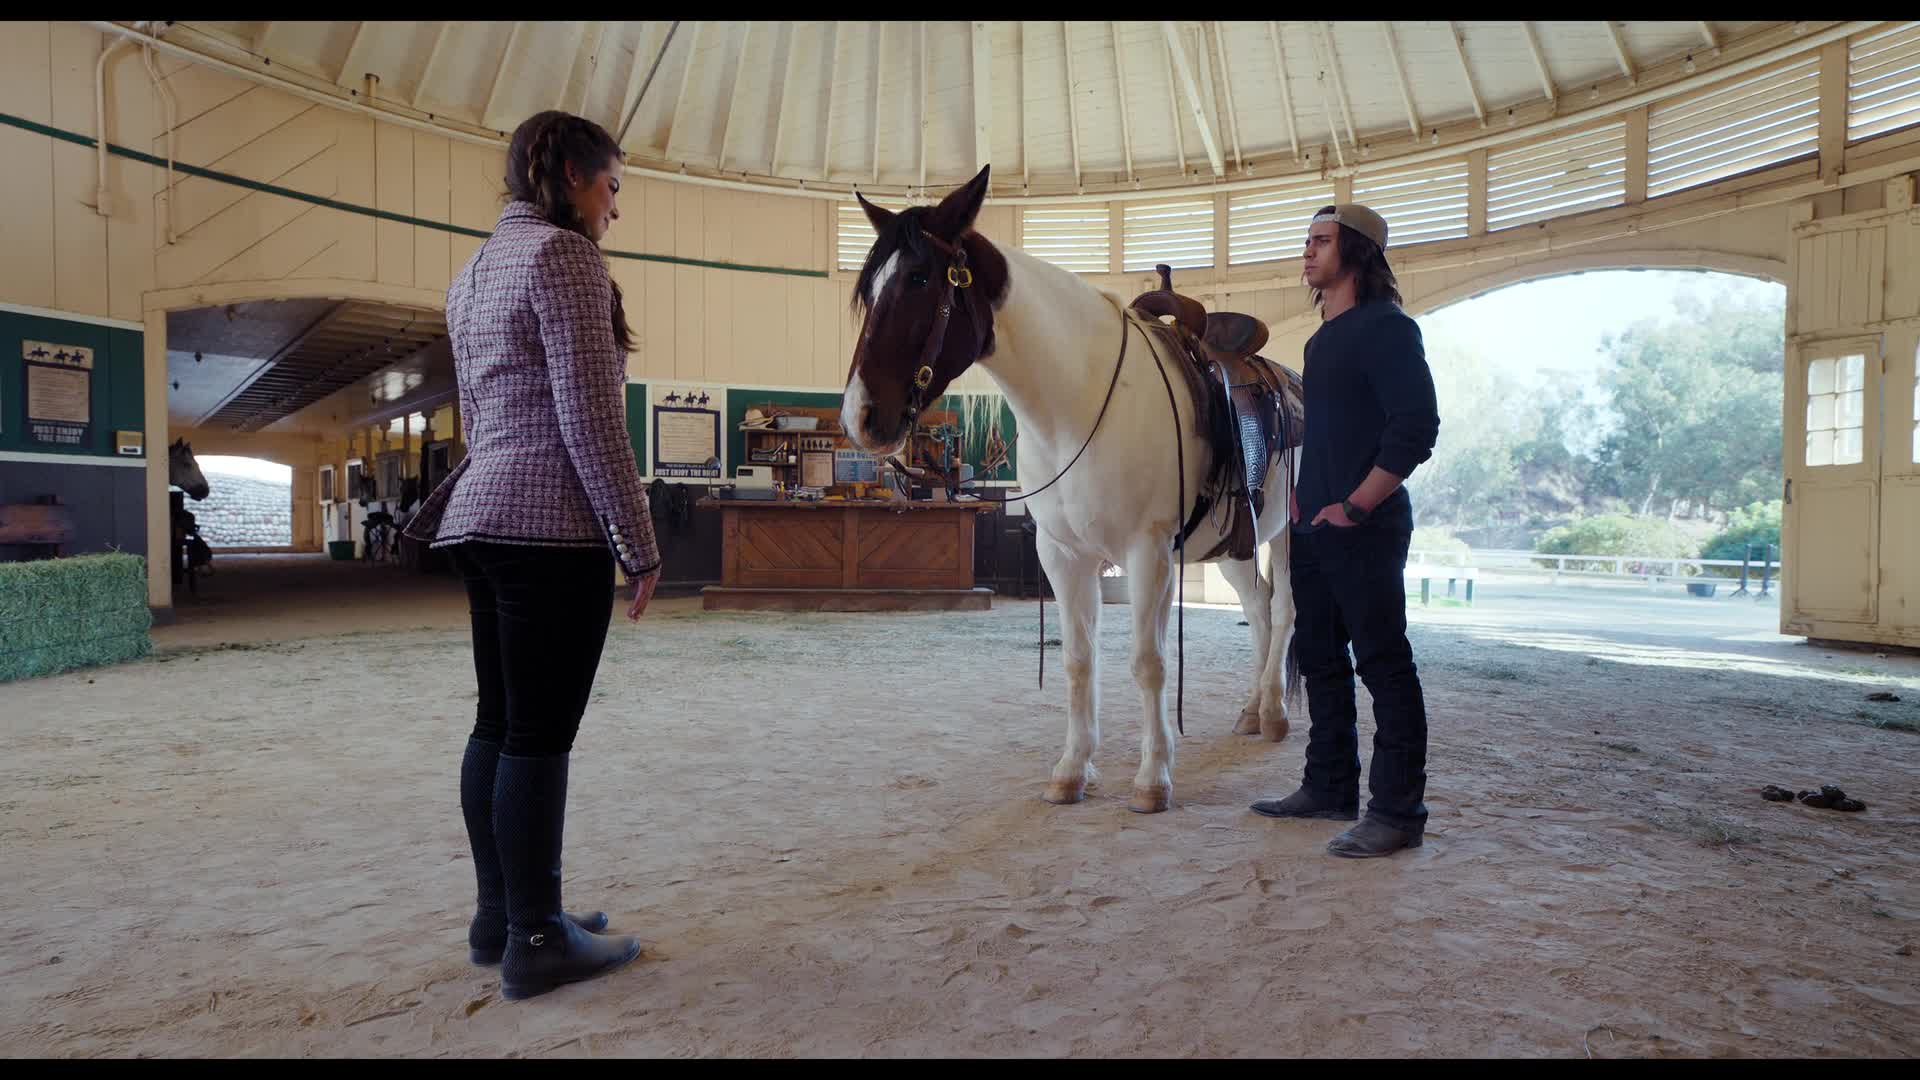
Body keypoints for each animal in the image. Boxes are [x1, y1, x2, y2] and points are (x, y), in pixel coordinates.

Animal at [852, 164, 1313, 810]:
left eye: (919, 278)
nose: (862, 417)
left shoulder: (1148, 551)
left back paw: (1273, 714)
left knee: (1287, 609)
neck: (1080, 400)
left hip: (1289, 534)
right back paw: (1251, 710)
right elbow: (1077, 659)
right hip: (1235, 547)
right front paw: (1072, 770)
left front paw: (1152, 778)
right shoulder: (1063, 554)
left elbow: (1148, 662)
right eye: (869, 291)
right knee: (1261, 609)